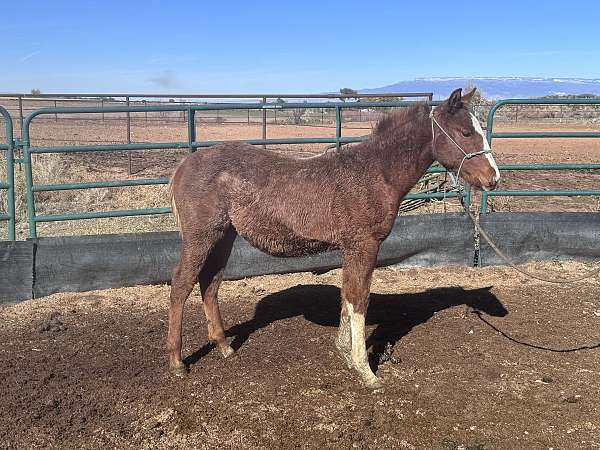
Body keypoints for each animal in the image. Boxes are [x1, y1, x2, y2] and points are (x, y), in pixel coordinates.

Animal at [166, 87, 500, 386]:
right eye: (465, 133)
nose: (493, 178)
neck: (374, 173)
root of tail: (184, 165)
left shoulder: (350, 248)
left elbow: (347, 294)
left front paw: (343, 350)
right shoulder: (365, 245)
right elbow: (359, 298)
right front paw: (365, 370)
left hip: (224, 237)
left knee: (210, 284)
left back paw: (224, 347)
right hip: (201, 237)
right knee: (181, 285)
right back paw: (177, 361)